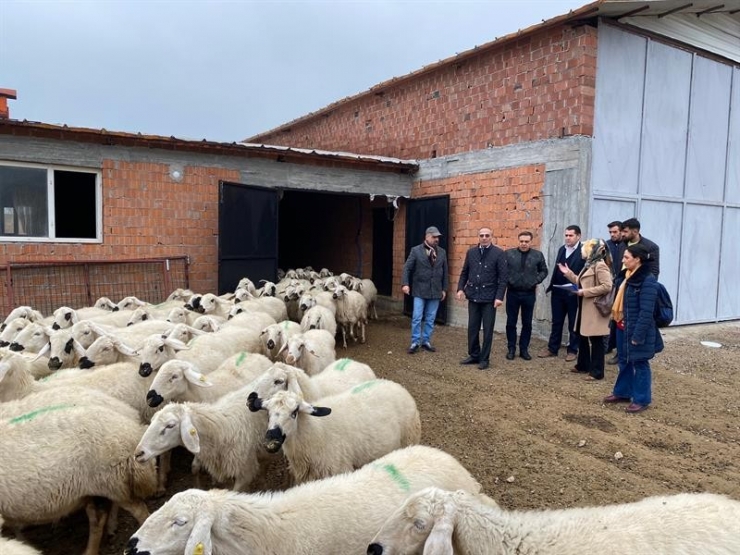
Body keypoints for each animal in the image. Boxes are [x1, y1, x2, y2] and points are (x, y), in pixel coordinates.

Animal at [0, 404, 158, 555]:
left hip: (113, 482)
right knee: (98, 519)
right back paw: (91, 549)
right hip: (97, 489)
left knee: (140, 511)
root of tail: (132, 431)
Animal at [249, 380, 422, 484]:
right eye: (268, 412)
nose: (272, 438)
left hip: (409, 437)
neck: (315, 433)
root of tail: (397, 386)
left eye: (295, 412)